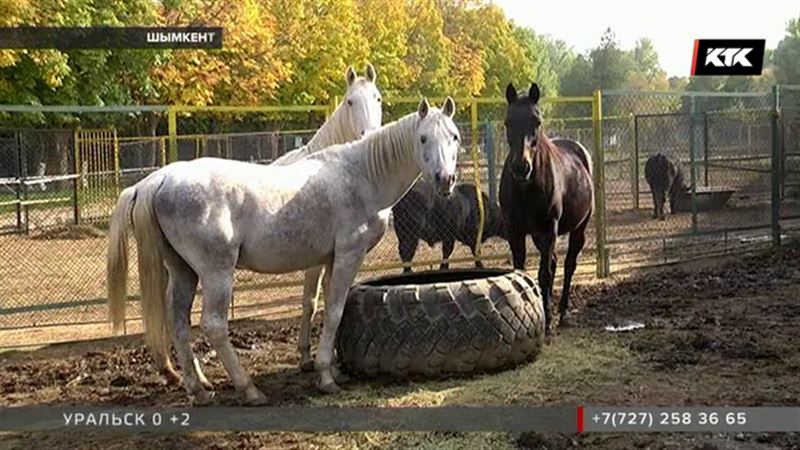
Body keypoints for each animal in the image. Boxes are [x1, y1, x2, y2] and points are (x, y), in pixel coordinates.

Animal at [104, 96, 462, 402]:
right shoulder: (349, 255)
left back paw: (199, 388)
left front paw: (330, 368)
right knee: (214, 325)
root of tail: (159, 180)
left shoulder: (330, 260)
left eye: (455, 137)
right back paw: (248, 389)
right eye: (423, 139)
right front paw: (326, 377)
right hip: (216, 271)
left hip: (183, 271)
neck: (361, 176)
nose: (445, 179)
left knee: (178, 321)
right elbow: (335, 310)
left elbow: (324, 307)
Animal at [500, 81, 592, 334]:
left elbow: (545, 274)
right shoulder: (515, 231)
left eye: (537, 122)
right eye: (508, 122)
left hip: (577, 229)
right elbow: (521, 272)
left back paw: (562, 313)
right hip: (538, 235)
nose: (521, 168)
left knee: (568, 265)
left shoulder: (550, 228)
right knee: (554, 261)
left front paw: (547, 321)